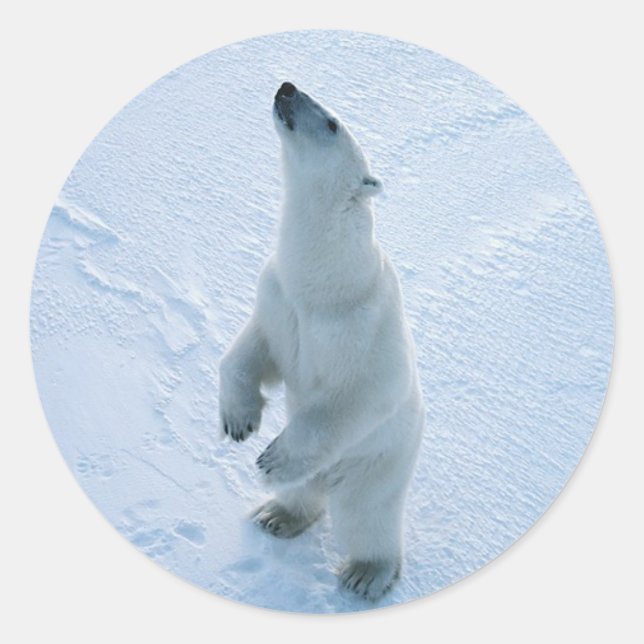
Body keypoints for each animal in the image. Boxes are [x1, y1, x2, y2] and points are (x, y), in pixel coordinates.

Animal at [219, 82, 425, 601]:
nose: (287, 88)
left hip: (381, 460)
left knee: (365, 514)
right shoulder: (279, 297)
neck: (322, 284)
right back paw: (276, 515)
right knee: (303, 492)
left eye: (332, 123)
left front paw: (271, 457)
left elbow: (361, 394)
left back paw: (366, 573)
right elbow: (251, 350)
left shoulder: (361, 323)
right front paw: (239, 421)